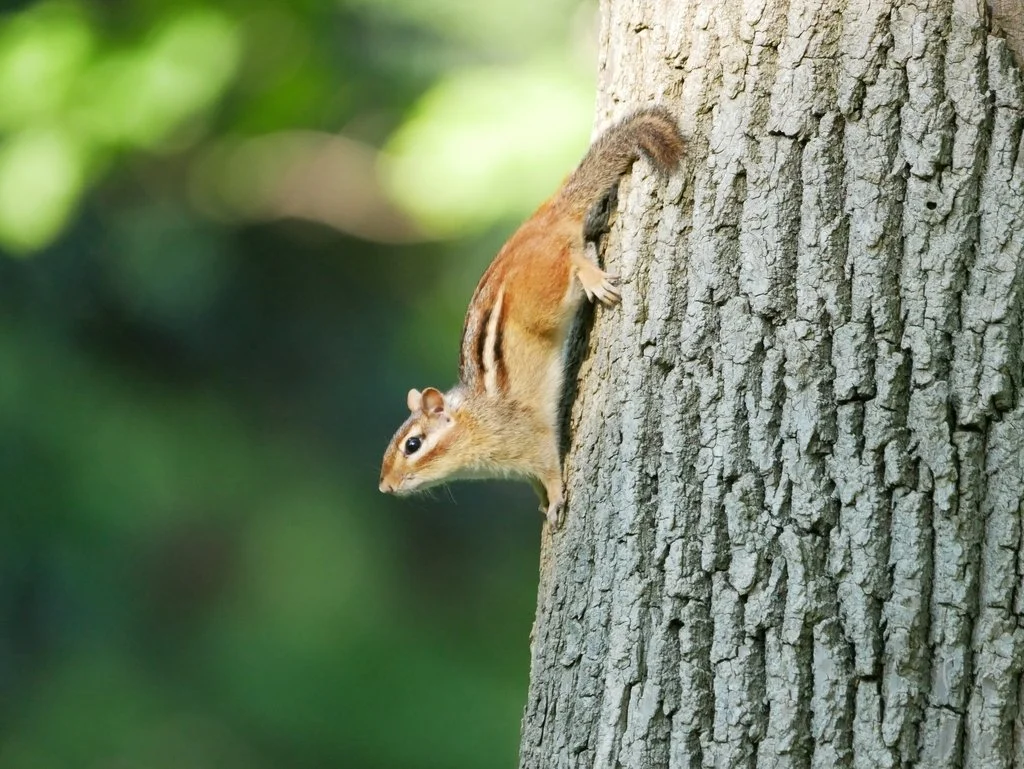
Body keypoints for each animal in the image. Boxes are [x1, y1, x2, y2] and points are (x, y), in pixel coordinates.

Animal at [378, 106, 684, 529]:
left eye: (413, 444)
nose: (384, 487)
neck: (475, 420)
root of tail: (544, 218)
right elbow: (536, 482)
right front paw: (542, 503)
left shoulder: (529, 440)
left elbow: (551, 468)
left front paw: (555, 502)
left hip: (550, 293)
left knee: (577, 254)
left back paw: (592, 277)